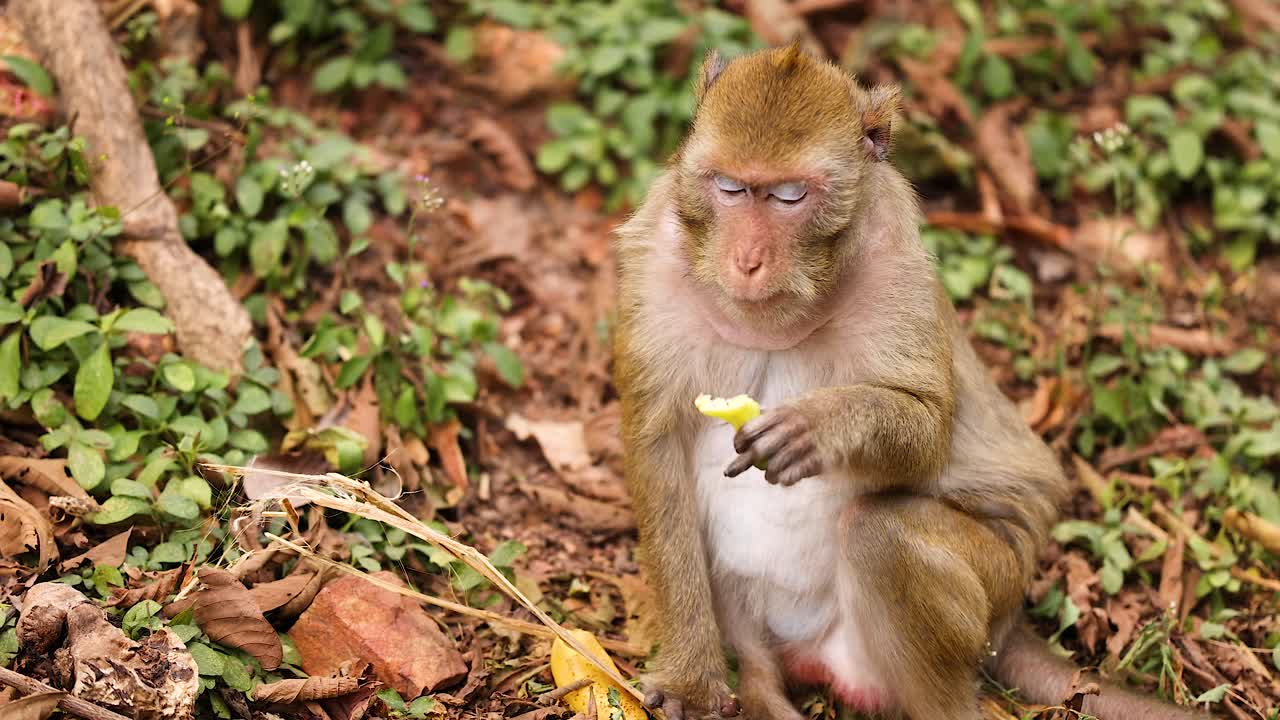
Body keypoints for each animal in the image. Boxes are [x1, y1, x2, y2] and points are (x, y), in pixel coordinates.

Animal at [611, 44, 1212, 720]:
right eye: (730, 188)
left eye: (789, 196)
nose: (747, 260)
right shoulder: (655, 261)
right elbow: (657, 446)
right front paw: (692, 678)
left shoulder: (893, 262)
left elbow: (926, 431)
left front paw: (820, 427)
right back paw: (762, 684)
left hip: (997, 583)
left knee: (882, 535)